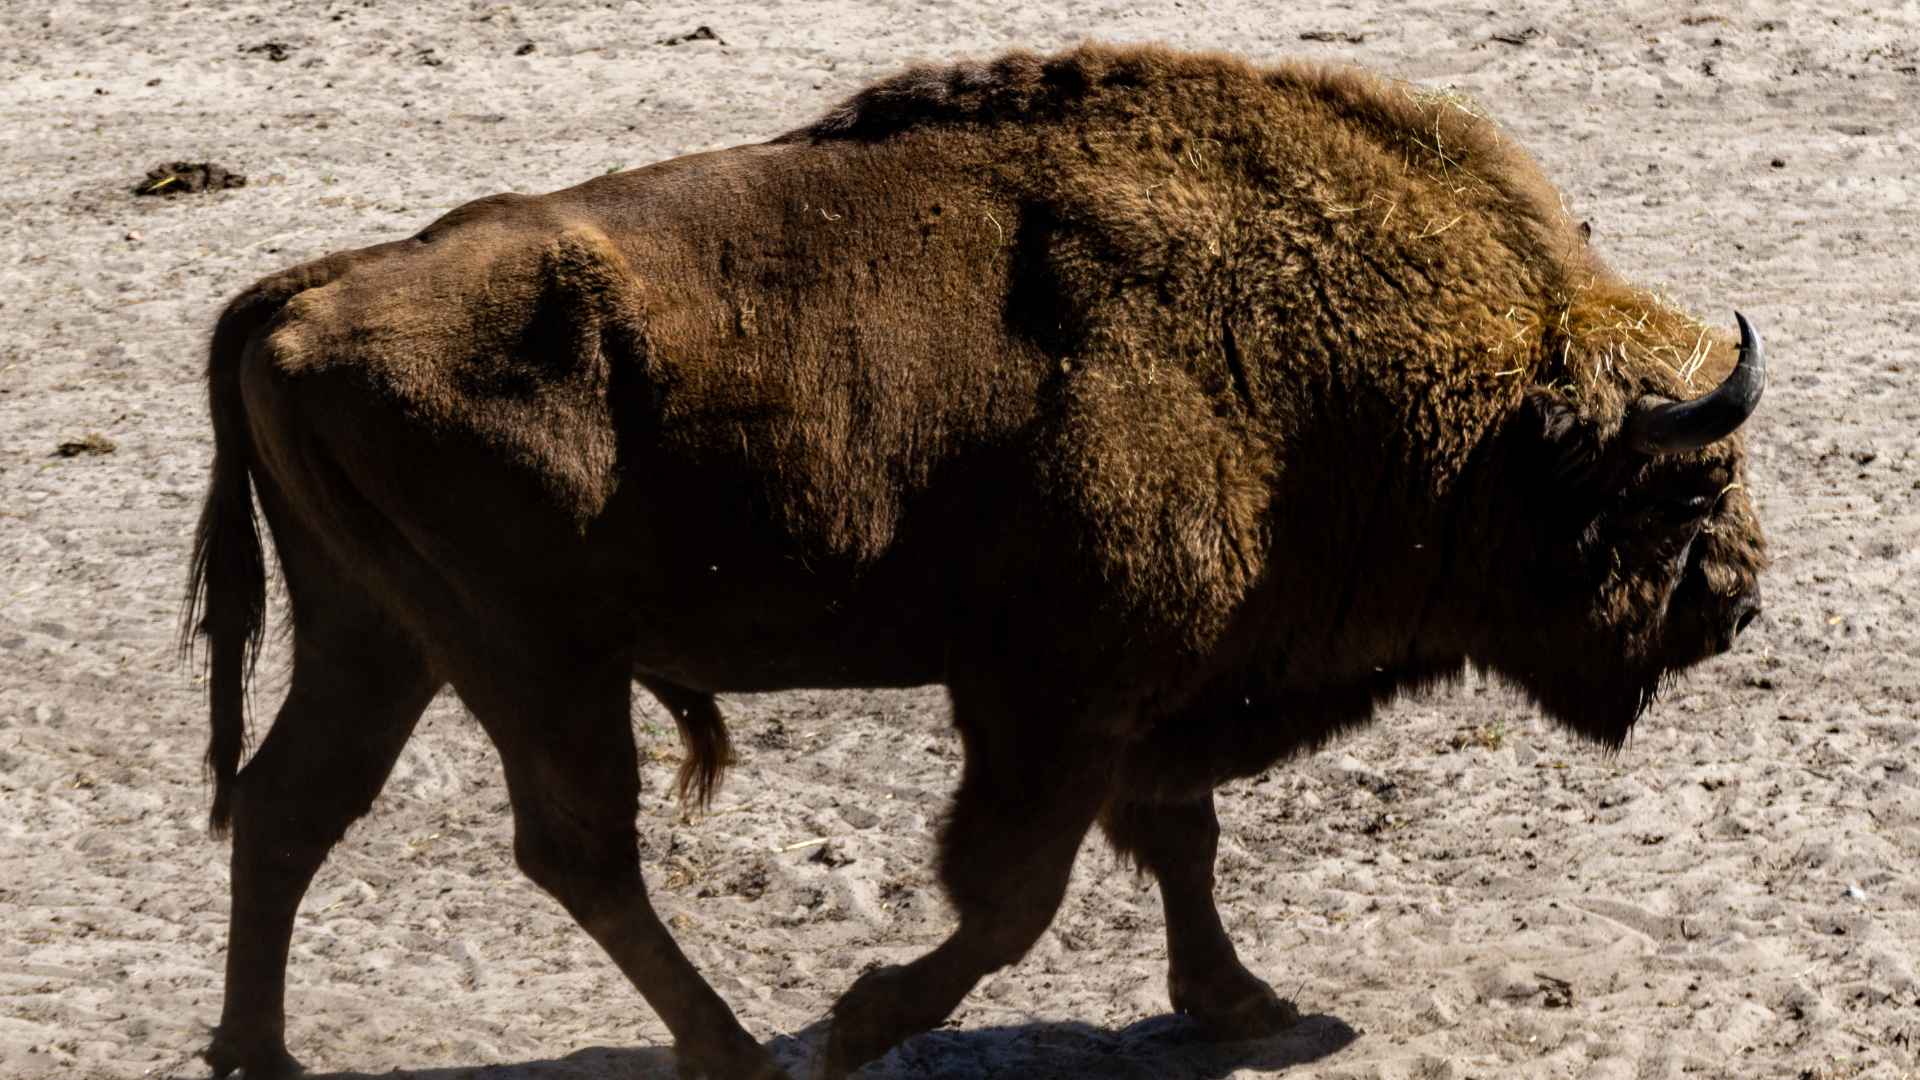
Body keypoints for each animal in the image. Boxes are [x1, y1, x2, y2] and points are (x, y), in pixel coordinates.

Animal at [183, 44, 1766, 1076]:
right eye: (1683, 491)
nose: (1737, 606)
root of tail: (305, 294)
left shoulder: (1148, 697)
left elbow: (1175, 841)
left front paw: (1241, 1003)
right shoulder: (1049, 697)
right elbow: (1015, 895)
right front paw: (867, 1021)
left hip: (380, 635)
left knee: (289, 807)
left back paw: (263, 1056)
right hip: (530, 661)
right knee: (573, 849)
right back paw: (737, 1052)